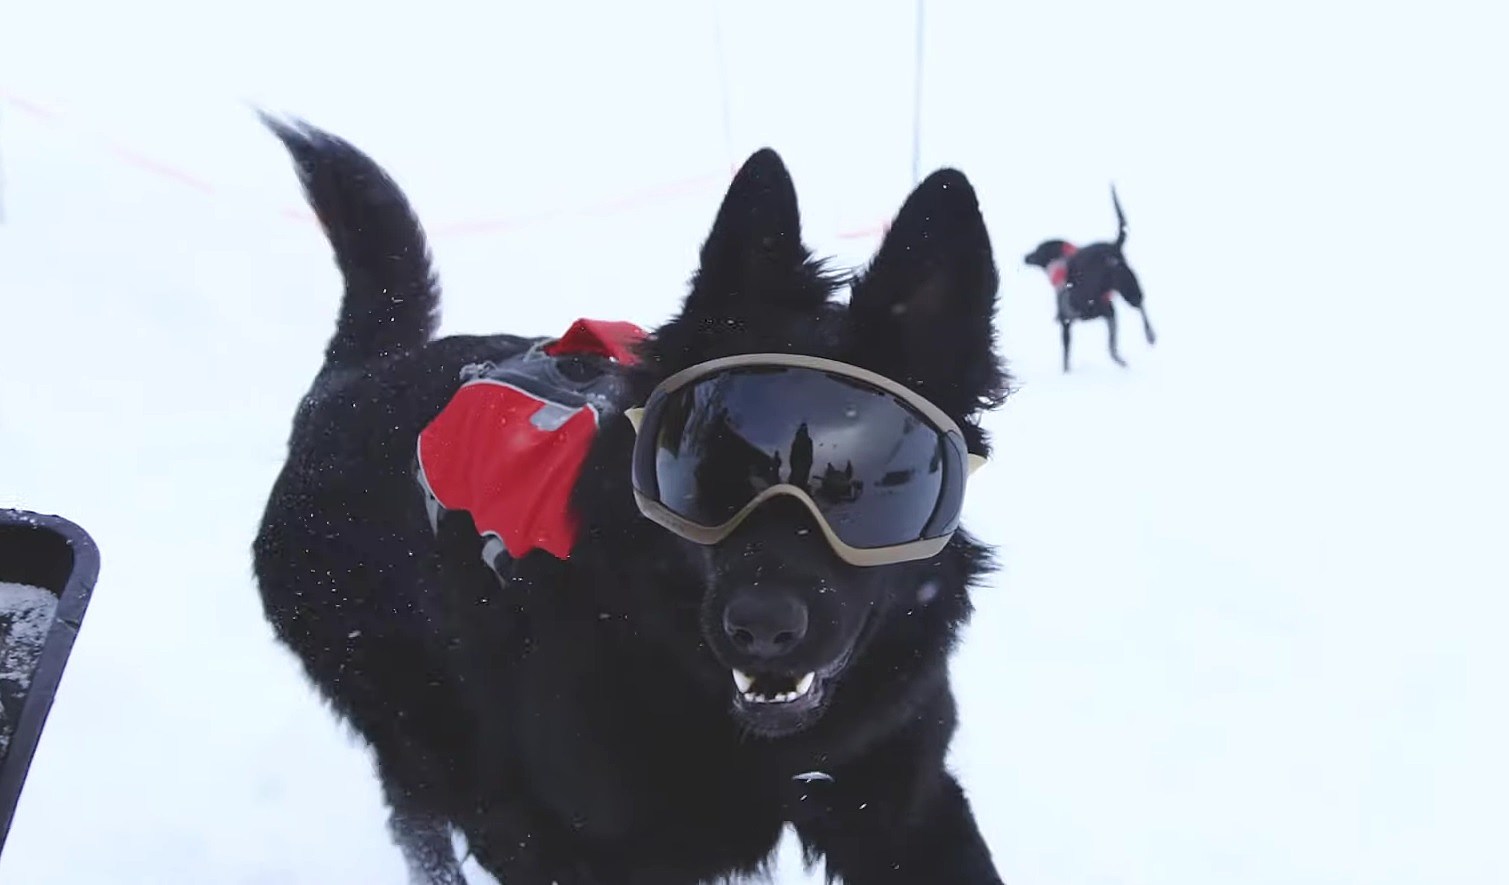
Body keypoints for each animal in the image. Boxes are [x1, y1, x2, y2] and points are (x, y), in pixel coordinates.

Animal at [253, 117, 1014, 881]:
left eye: (866, 481)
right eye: (710, 464)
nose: (763, 626)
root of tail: (349, 379)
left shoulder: (901, 807)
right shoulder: (546, 836)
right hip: (424, 726)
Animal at [1026, 187, 1152, 371]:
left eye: (1037, 250)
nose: (1024, 257)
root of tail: (1113, 248)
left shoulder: (1069, 321)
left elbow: (1068, 356)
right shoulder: (1108, 312)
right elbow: (1111, 346)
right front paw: (1120, 361)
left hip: (1125, 288)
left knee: (1140, 307)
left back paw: (1150, 335)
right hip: (1127, 284)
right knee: (1140, 304)